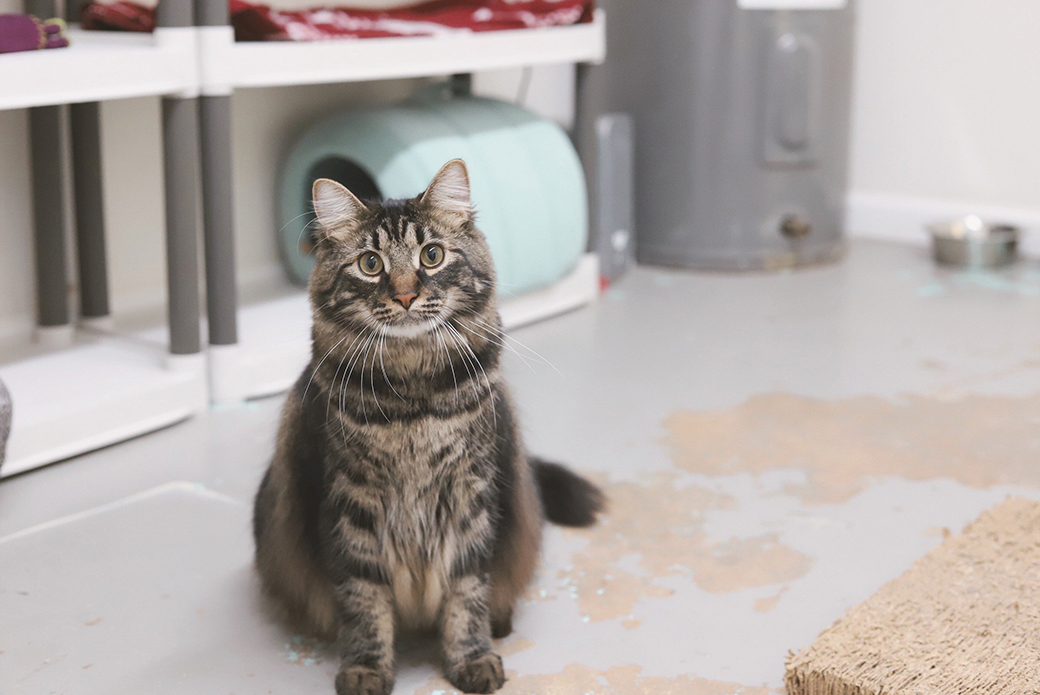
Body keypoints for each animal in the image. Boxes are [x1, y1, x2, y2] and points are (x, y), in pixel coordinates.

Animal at [252, 160, 607, 690]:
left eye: (432, 256)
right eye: (370, 264)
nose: (404, 295)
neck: (414, 399)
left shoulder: (470, 492)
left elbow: (467, 590)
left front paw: (471, 658)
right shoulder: (352, 500)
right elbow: (364, 600)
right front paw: (365, 669)